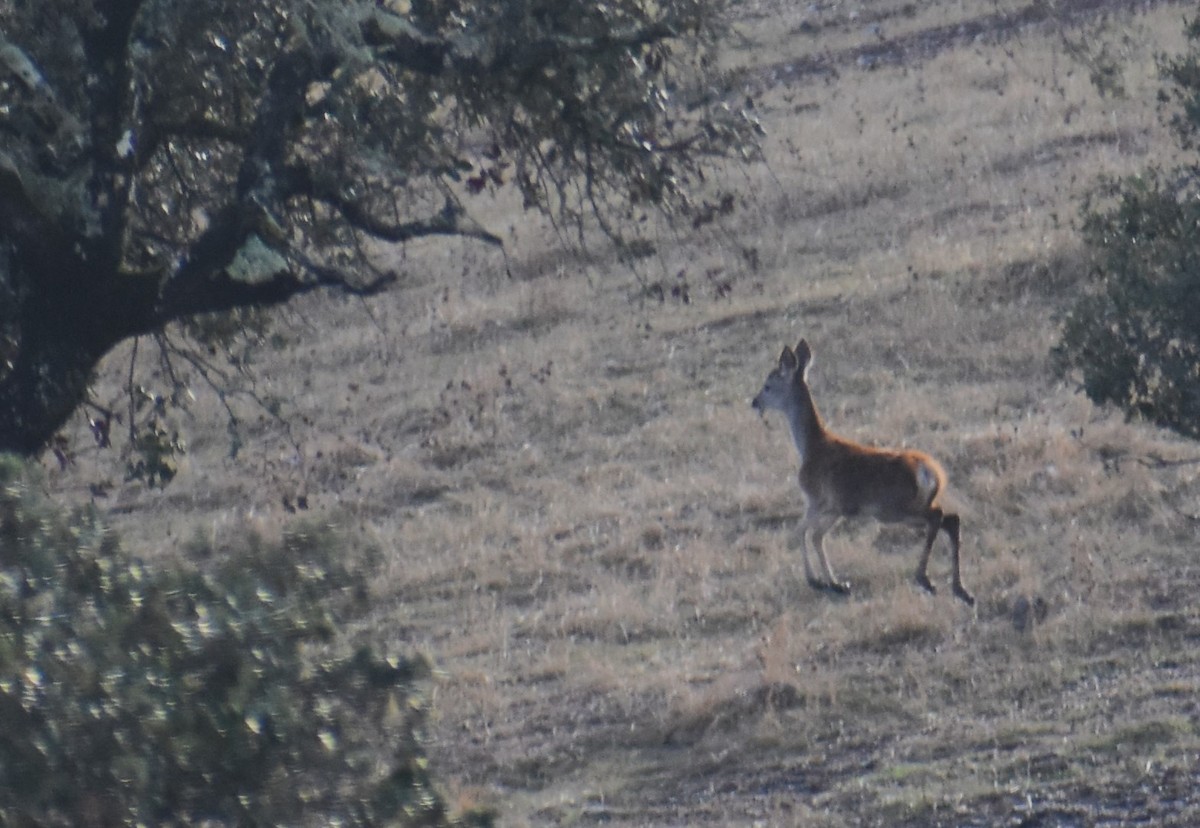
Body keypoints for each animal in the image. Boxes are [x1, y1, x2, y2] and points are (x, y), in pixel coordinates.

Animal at [751, 339, 974, 606]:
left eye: (768, 385)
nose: (754, 402)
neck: (811, 447)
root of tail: (930, 472)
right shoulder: (836, 508)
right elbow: (816, 535)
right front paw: (836, 583)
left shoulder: (819, 500)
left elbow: (801, 531)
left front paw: (817, 580)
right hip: (904, 510)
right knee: (951, 519)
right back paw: (961, 590)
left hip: (895, 507)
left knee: (938, 517)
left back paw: (925, 579)